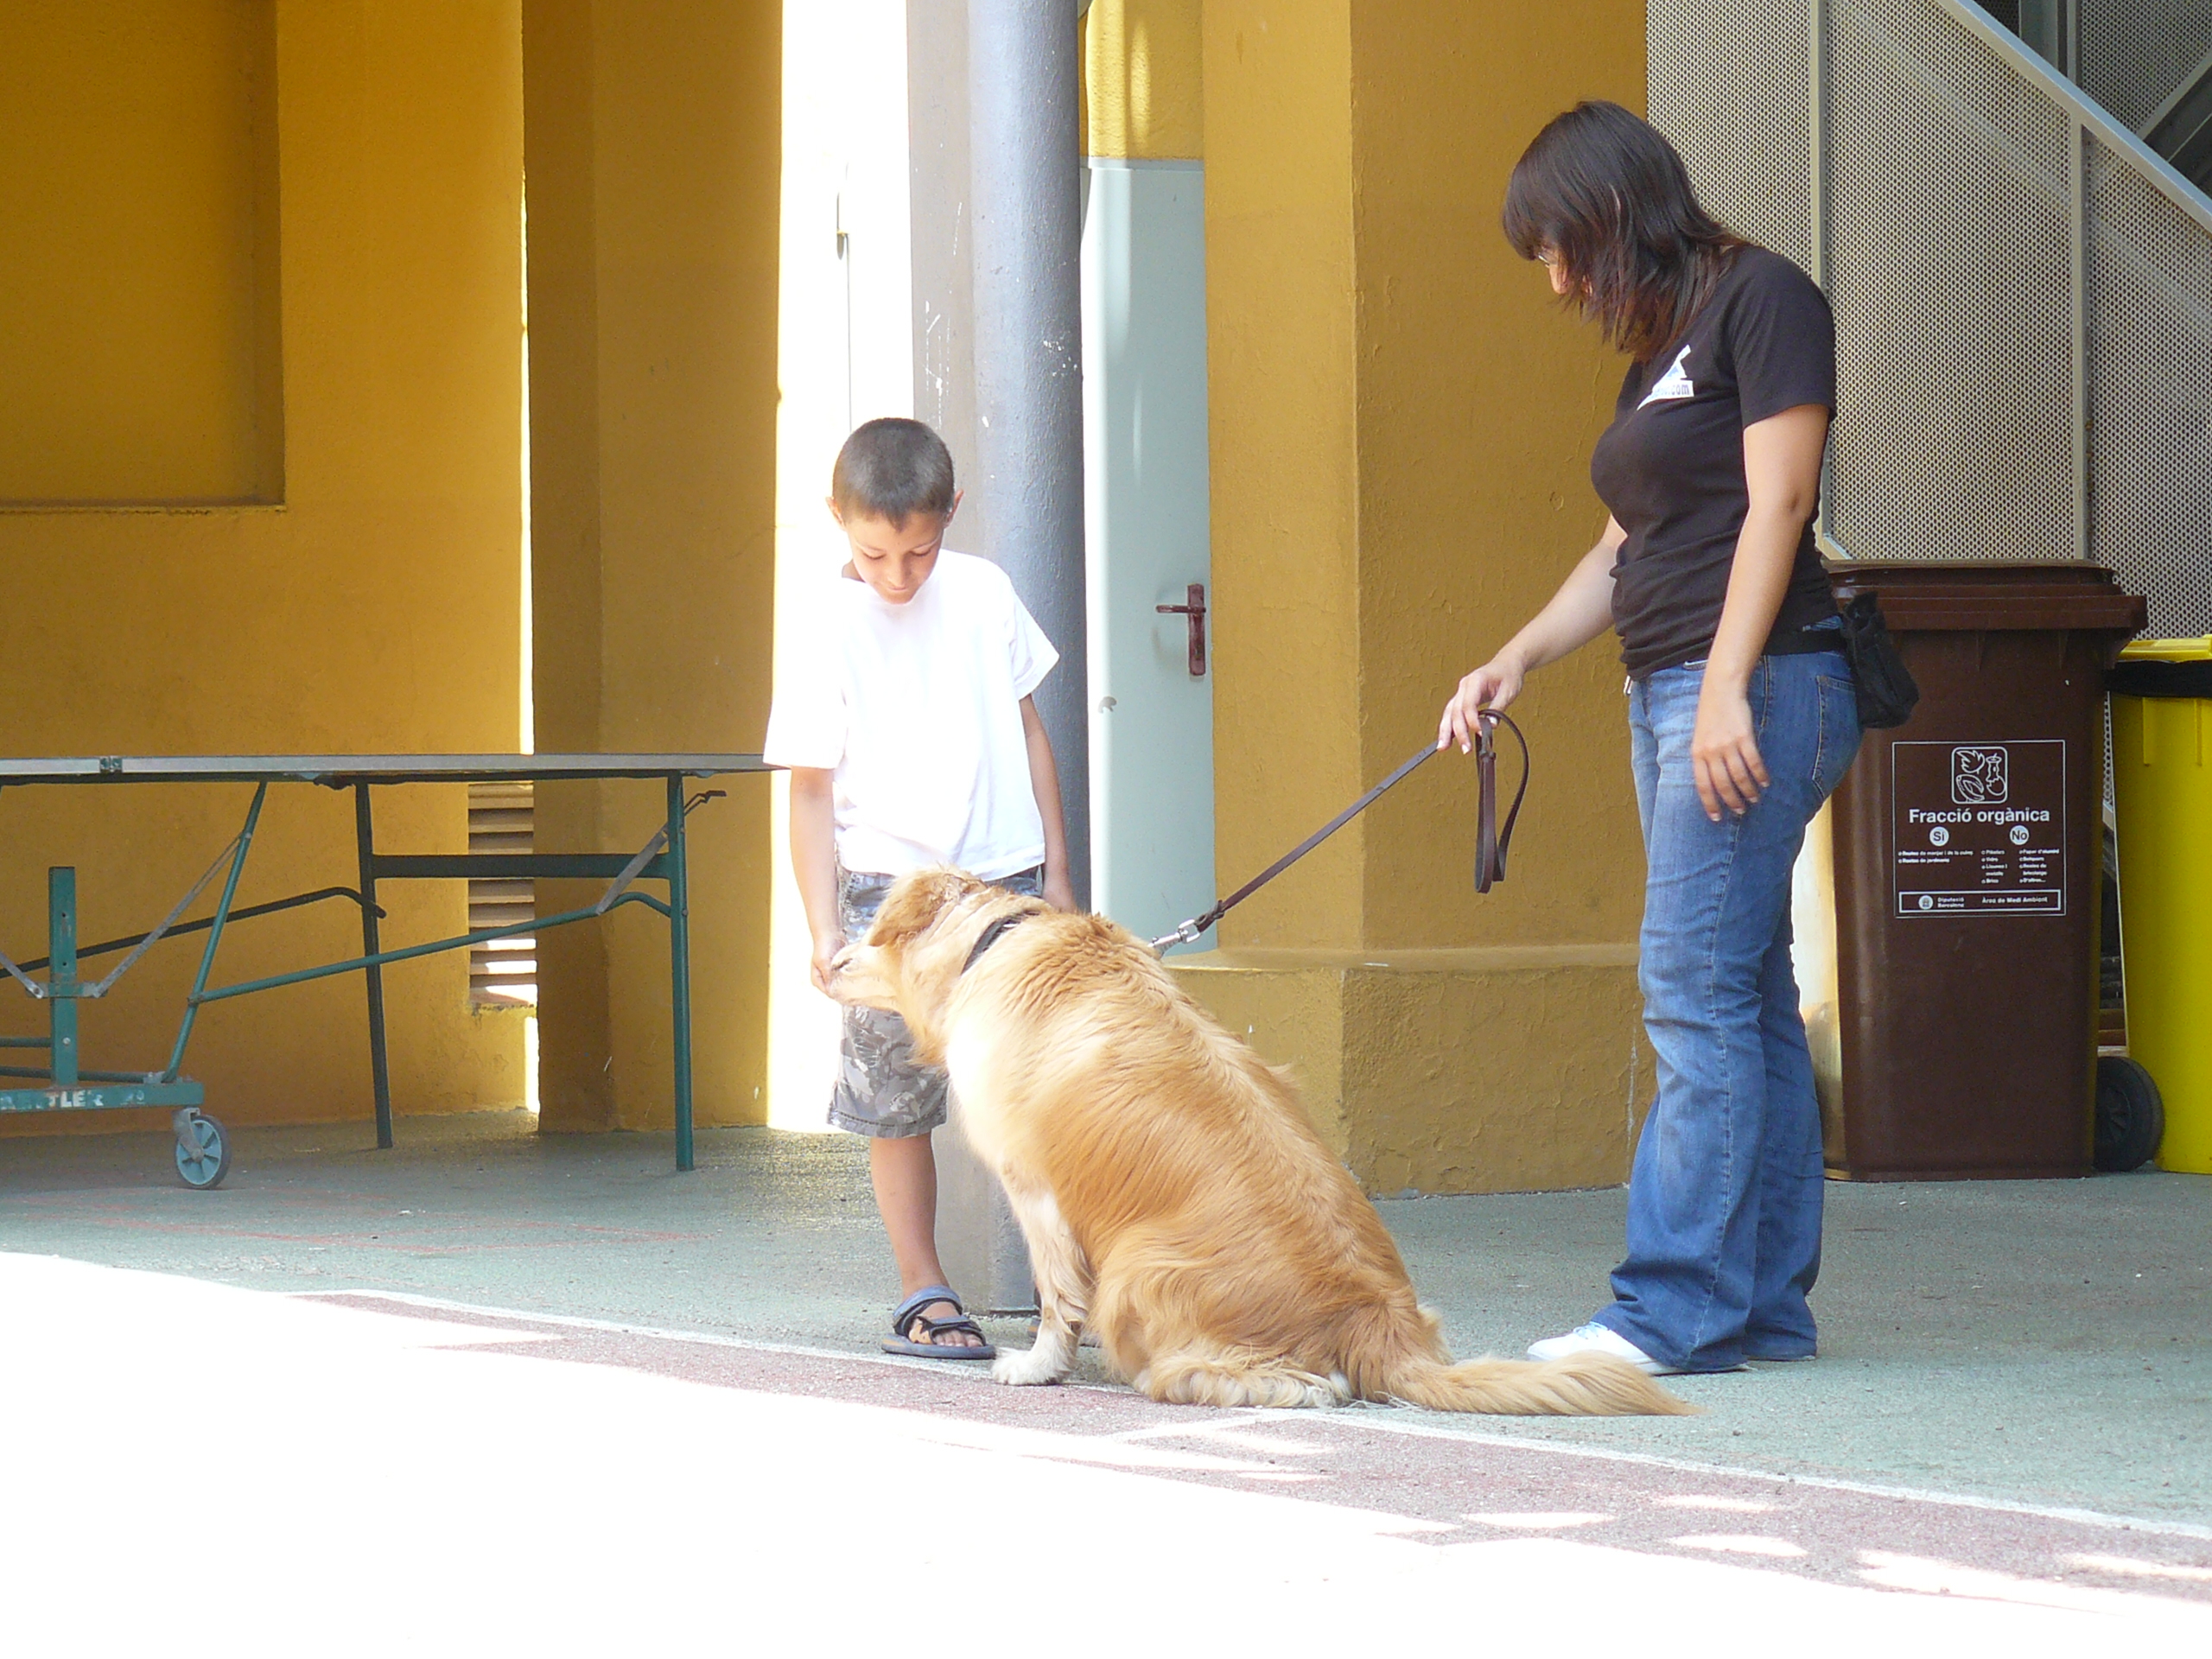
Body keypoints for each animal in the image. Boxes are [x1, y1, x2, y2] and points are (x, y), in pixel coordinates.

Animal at [830, 868, 1691, 1416]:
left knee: (1245, 1376)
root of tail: (1380, 1325)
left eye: (868, 927)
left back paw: (1273, 1384)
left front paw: (1039, 1366)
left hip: (1139, 1266)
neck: (996, 941)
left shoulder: (1035, 1188)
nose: (824, 958)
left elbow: (1056, 1295)